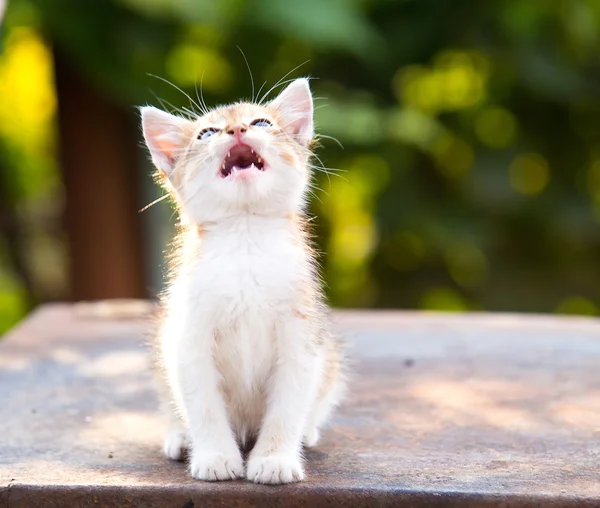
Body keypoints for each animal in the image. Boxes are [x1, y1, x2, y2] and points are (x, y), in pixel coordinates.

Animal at [141, 78, 344, 484]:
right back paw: (179, 436)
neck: (245, 234)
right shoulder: (189, 337)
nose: (236, 129)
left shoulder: (302, 336)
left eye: (262, 122)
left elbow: (288, 406)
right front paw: (215, 456)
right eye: (206, 133)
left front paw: (275, 459)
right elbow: (203, 405)